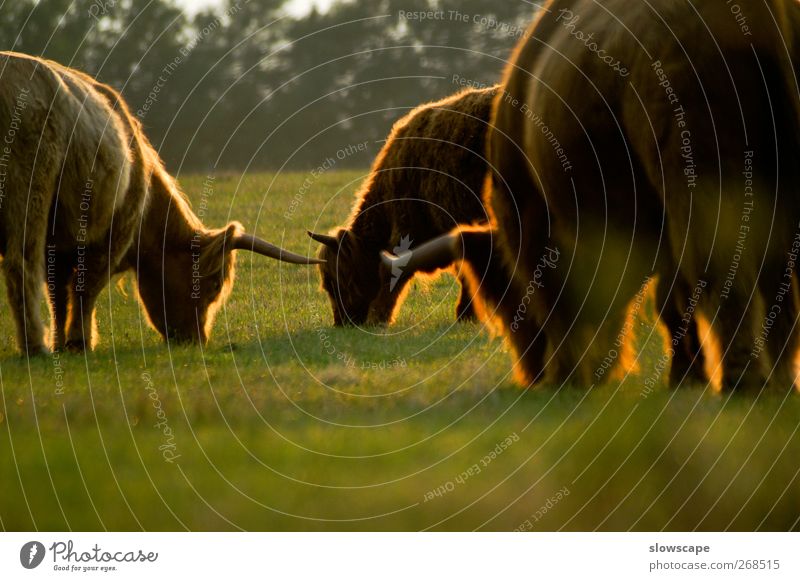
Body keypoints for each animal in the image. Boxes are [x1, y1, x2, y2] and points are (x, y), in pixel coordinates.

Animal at [0, 53, 318, 354]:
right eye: (214, 285)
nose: (197, 340)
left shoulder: (63, 243)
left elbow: (59, 293)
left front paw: (63, 344)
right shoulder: (114, 232)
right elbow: (85, 287)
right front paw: (79, 343)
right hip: (29, 186)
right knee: (22, 262)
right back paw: (34, 346)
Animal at [384, 0, 800, 392]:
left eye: (505, 296)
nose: (531, 371)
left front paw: (573, 372)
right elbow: (674, 301)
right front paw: (685, 375)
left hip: (701, 176)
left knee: (722, 271)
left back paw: (743, 380)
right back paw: (777, 379)